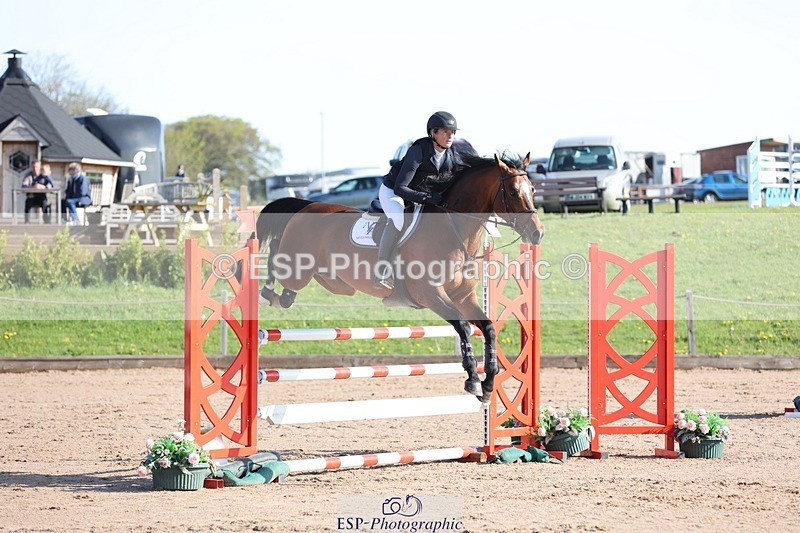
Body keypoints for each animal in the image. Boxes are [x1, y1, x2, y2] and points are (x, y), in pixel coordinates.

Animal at [251, 152, 544, 402]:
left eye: (532, 190)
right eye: (513, 192)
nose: (538, 233)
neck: (455, 231)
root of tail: (308, 204)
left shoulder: (463, 297)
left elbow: (489, 328)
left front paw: (489, 383)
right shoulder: (431, 295)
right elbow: (462, 327)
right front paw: (472, 379)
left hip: (333, 282)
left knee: (293, 288)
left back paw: (278, 296)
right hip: (297, 267)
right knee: (276, 256)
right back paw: (266, 294)